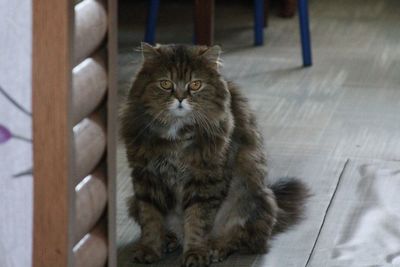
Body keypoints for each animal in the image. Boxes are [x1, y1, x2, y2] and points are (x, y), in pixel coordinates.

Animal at [119, 43, 310, 267]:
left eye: (195, 84)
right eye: (165, 84)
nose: (180, 98)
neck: (176, 134)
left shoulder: (205, 179)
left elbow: (197, 222)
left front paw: (195, 253)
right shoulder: (145, 177)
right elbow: (151, 220)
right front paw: (149, 249)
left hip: (252, 198)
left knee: (244, 239)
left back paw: (216, 248)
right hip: (132, 201)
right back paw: (170, 240)